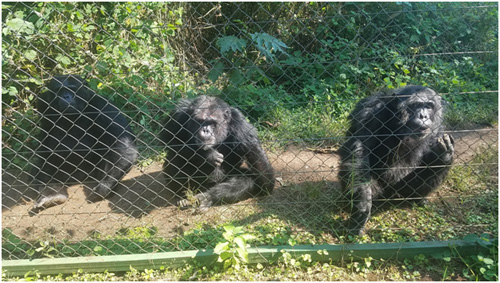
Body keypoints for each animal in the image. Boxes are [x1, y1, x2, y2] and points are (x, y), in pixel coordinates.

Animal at [30, 75, 138, 215]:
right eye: (59, 90)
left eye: (72, 89)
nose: (66, 96)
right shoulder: (43, 105)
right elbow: (45, 143)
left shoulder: (103, 106)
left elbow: (122, 144)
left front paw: (104, 187)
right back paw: (53, 195)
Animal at [338, 85, 456, 236]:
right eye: (416, 105)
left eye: (429, 106)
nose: (423, 116)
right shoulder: (370, 112)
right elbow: (360, 148)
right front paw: (363, 205)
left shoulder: (438, 126)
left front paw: (443, 152)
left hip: (407, 189)